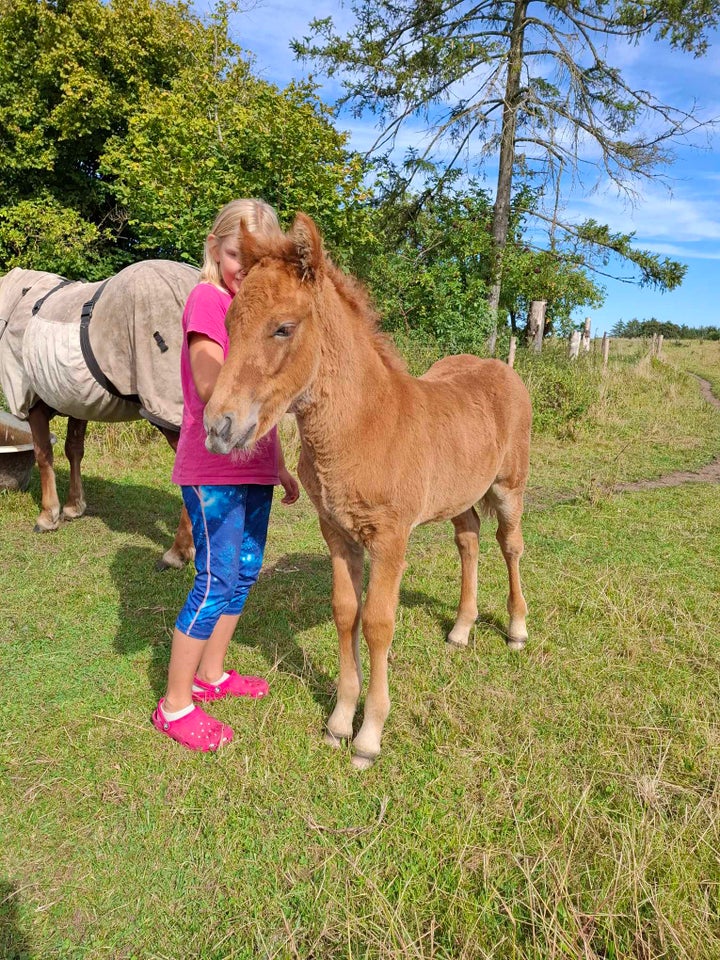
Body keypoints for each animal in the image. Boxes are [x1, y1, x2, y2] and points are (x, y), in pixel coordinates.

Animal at [0, 258, 198, 568]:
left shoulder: (34, 402)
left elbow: (44, 455)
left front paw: (48, 516)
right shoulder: (77, 399)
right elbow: (74, 450)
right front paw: (73, 506)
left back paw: (178, 551)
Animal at [205, 214, 532, 768]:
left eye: (283, 327)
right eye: (228, 325)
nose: (219, 427)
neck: (363, 425)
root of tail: (501, 367)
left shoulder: (390, 538)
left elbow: (379, 622)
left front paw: (369, 736)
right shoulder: (336, 532)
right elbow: (346, 613)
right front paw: (339, 721)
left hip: (509, 488)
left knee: (510, 546)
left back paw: (515, 630)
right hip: (461, 495)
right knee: (468, 540)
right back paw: (460, 630)